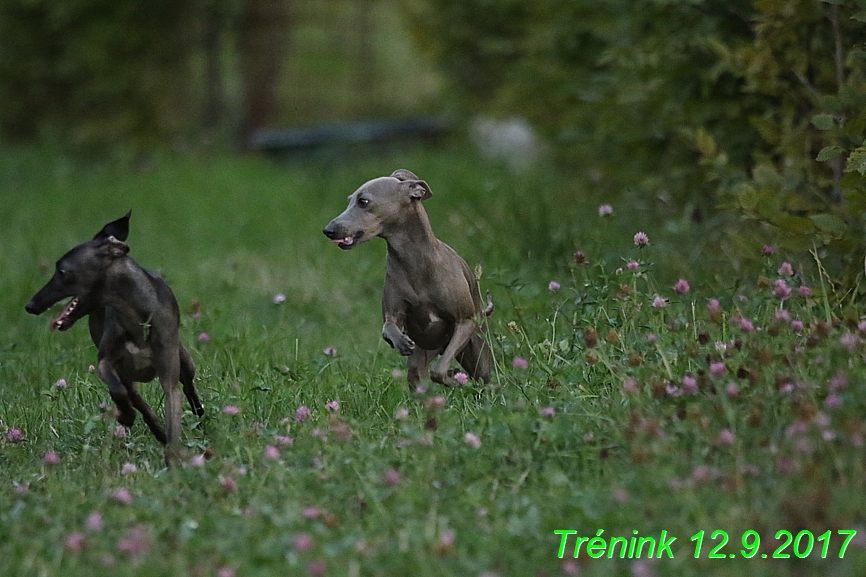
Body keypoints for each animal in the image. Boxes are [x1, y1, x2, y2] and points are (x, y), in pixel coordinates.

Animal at [24, 212, 202, 464]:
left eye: (62, 271)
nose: (30, 306)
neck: (137, 319)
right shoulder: (105, 363)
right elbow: (118, 390)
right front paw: (126, 416)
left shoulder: (169, 382)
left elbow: (173, 413)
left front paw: (174, 461)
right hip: (129, 376)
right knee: (138, 401)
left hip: (184, 360)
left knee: (188, 385)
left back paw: (200, 416)